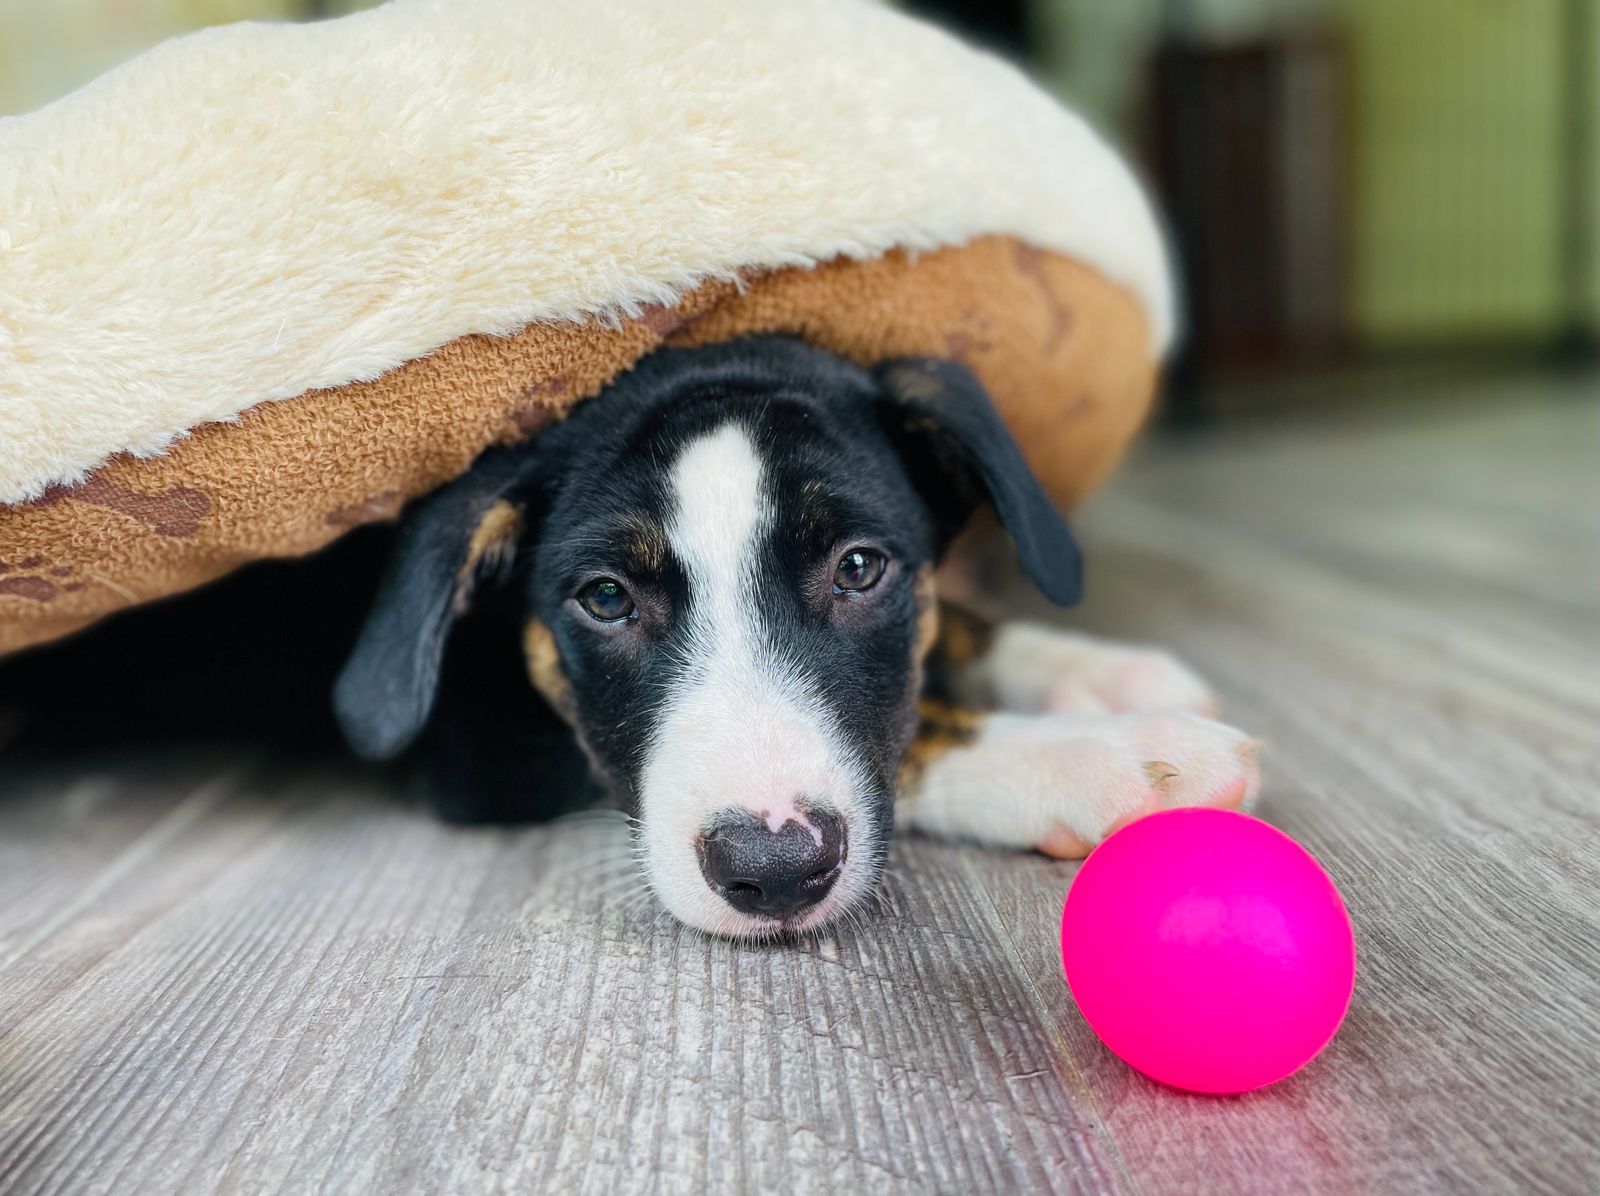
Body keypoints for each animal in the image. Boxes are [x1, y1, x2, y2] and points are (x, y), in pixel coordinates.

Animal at [334, 334, 1260, 933]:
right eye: (604, 597)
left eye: (858, 568)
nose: (774, 872)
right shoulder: (485, 753)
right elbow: (920, 731)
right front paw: (1098, 756)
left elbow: (947, 633)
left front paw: (1088, 671)